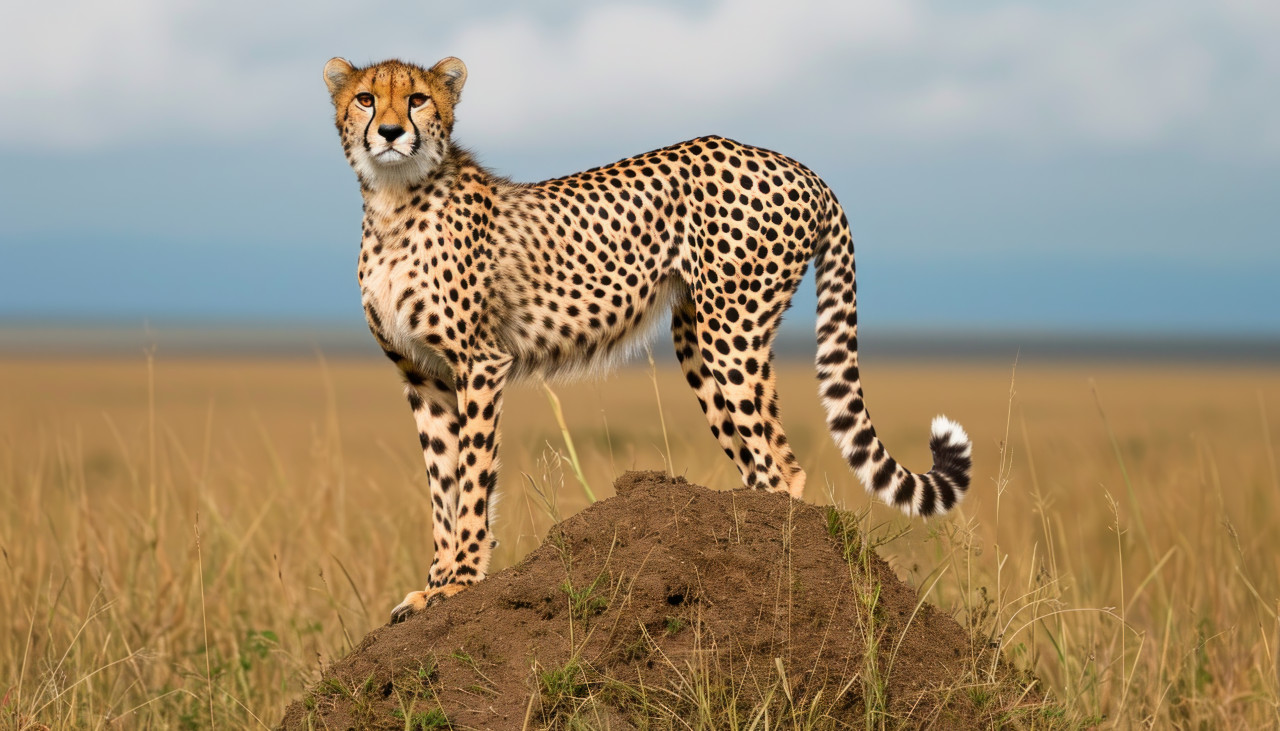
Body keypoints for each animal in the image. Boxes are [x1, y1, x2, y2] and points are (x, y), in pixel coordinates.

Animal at [322, 56, 973, 624]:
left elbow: (474, 481)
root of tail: (796, 165)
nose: (390, 131)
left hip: (731, 328)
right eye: (365, 98)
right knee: (775, 458)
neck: (393, 200)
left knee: (776, 467)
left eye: (416, 98)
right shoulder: (423, 379)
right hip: (700, 335)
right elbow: (443, 486)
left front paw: (459, 582)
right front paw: (431, 587)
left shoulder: (479, 364)